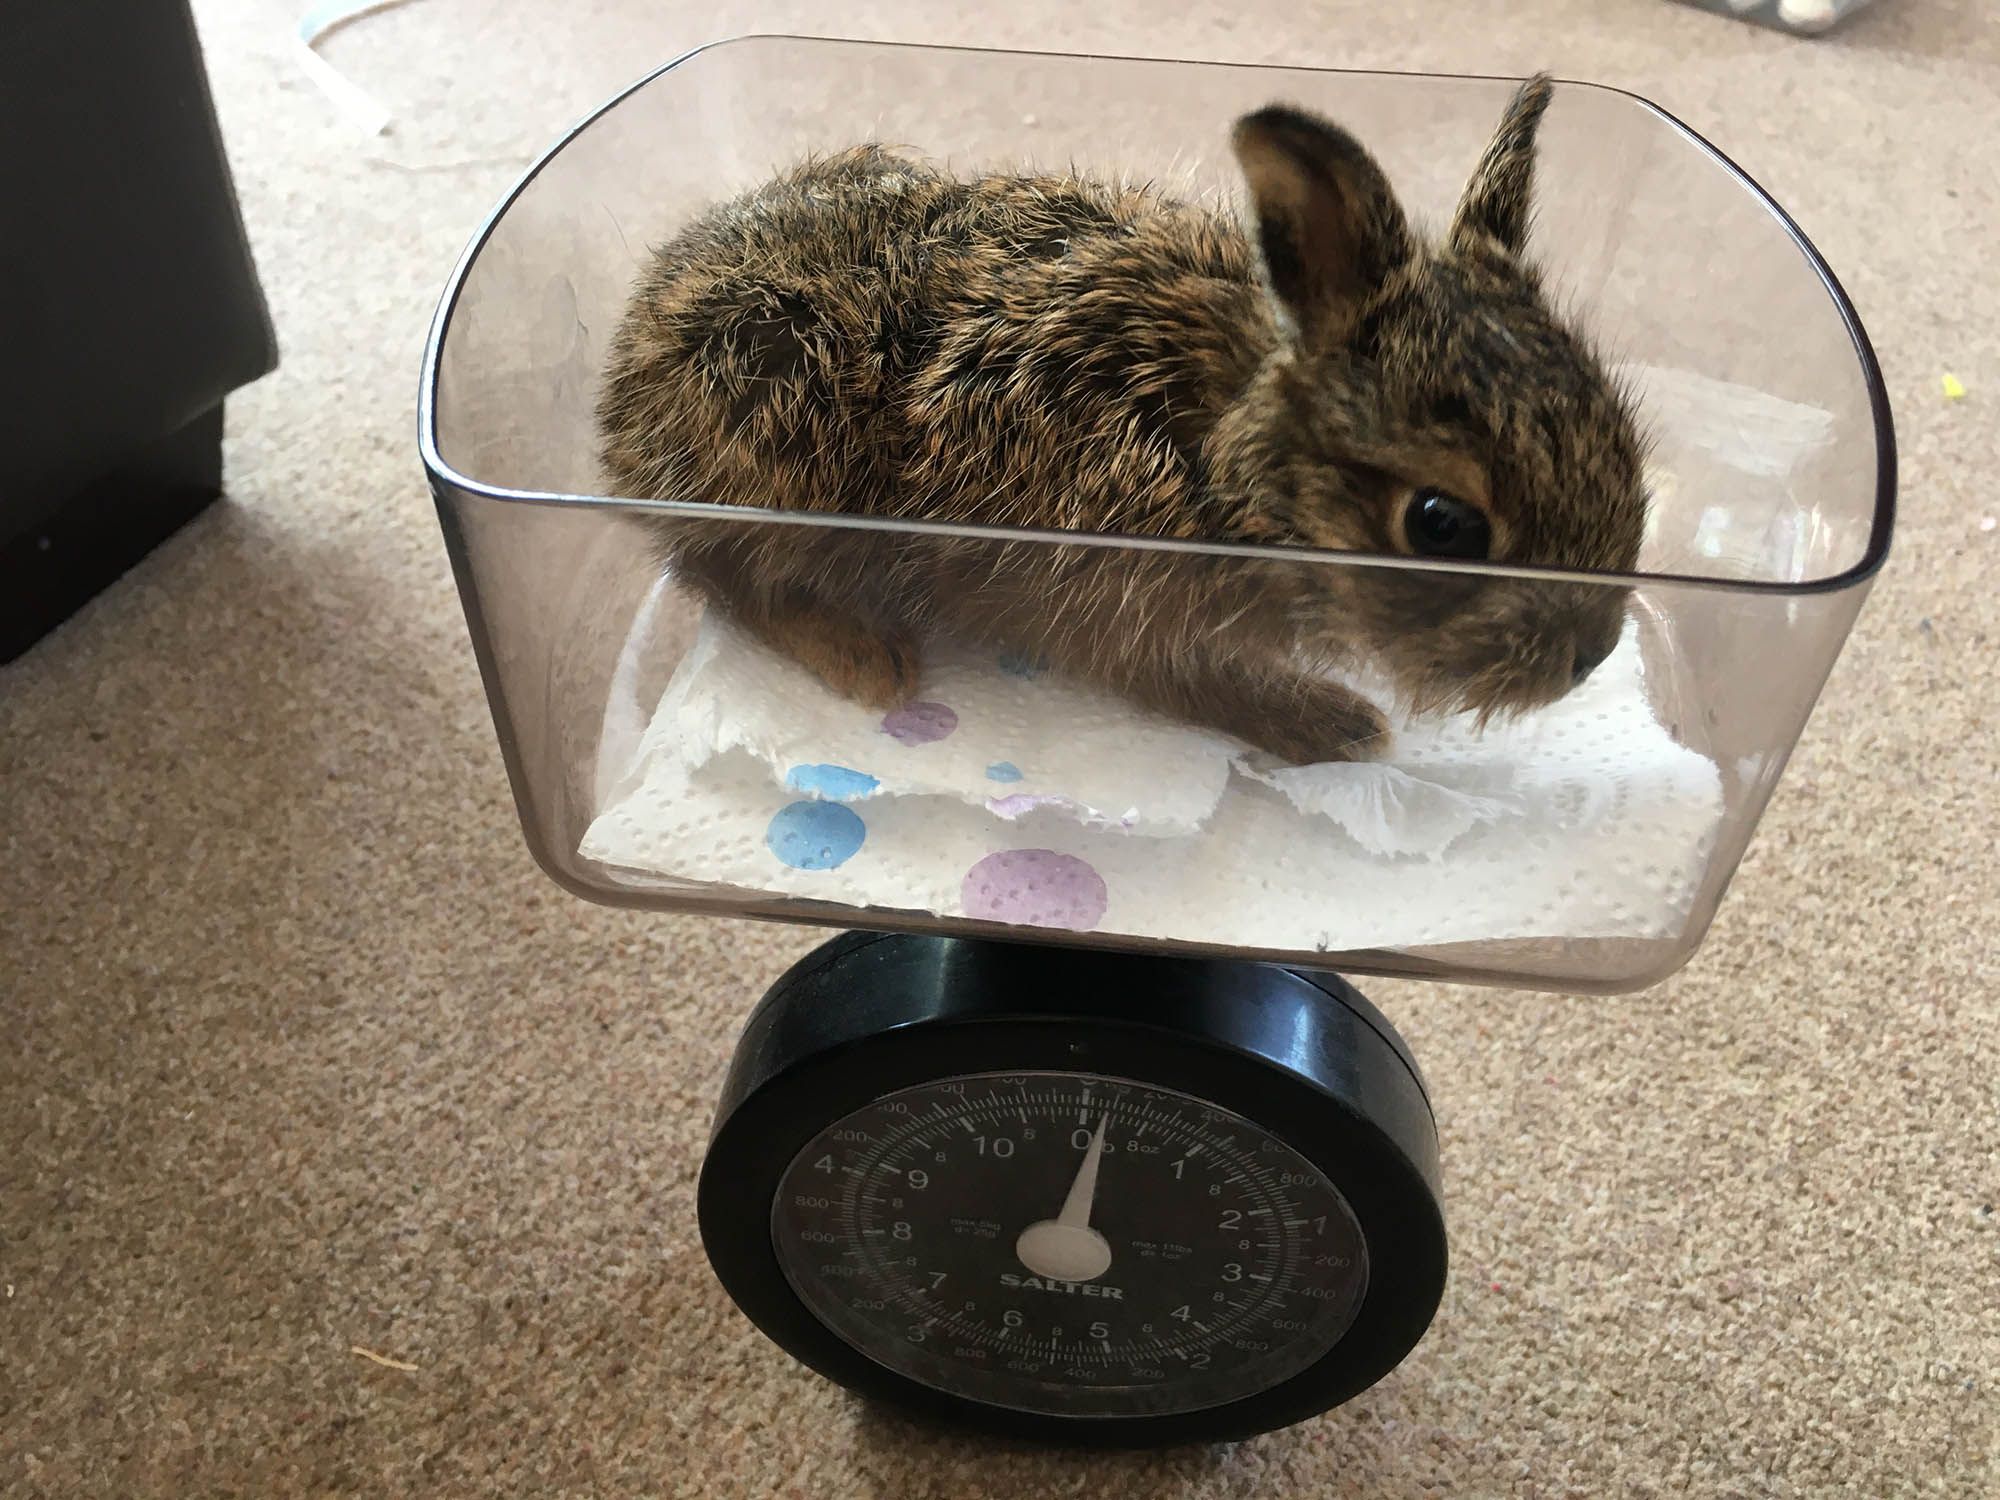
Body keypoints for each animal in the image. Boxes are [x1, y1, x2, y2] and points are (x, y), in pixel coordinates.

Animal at [596, 75, 1648, 764]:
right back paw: (868, 660)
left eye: (1626, 440)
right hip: (775, 435)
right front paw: (1335, 726)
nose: (1592, 654)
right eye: (1441, 525)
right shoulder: (1121, 602)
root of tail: (619, 396)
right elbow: (1195, 684)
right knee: (723, 573)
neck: (1224, 456)